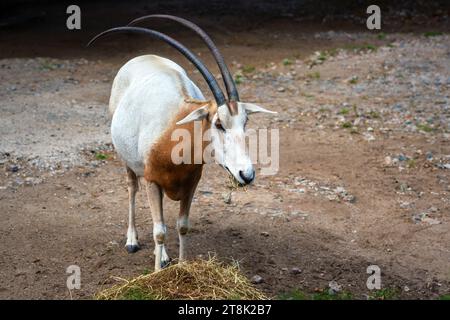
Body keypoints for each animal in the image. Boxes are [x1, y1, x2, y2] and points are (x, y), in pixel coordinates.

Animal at [88, 15, 274, 270]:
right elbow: (159, 232)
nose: (246, 174)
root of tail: (143, 57)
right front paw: (157, 273)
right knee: (132, 188)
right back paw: (132, 240)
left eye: (244, 121)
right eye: (218, 123)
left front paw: (181, 267)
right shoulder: (152, 181)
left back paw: (163, 256)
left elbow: (181, 226)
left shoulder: (190, 184)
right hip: (127, 162)